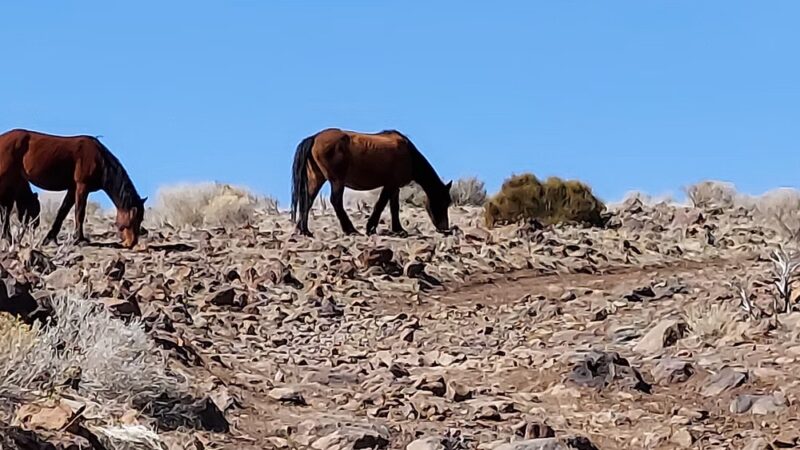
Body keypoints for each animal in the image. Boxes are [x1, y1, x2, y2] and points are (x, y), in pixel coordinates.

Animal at [0, 129, 146, 248]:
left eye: (141, 219)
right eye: (133, 219)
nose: (131, 243)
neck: (99, 160)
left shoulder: (72, 189)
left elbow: (62, 212)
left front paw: (49, 238)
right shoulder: (82, 186)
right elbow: (79, 212)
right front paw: (79, 239)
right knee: (5, 210)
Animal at [290, 128, 452, 236]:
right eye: (443, 202)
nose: (444, 228)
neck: (409, 155)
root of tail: (314, 137)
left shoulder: (395, 187)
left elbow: (394, 207)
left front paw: (399, 229)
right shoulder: (390, 185)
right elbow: (381, 205)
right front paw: (371, 227)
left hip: (317, 178)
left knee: (308, 201)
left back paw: (304, 230)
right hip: (337, 181)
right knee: (335, 201)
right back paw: (350, 230)